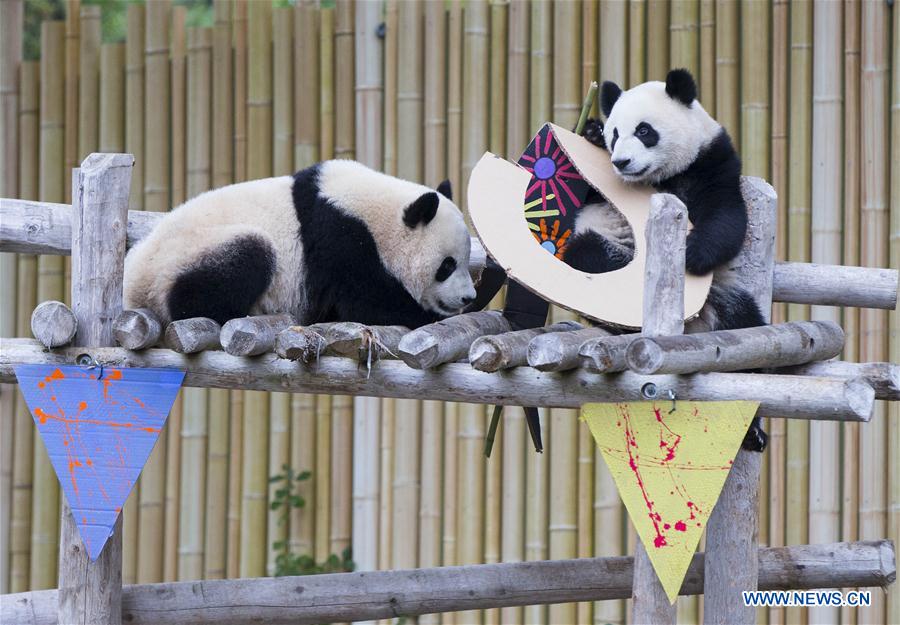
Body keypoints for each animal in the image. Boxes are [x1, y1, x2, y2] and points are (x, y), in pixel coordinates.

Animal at [123, 159, 477, 330]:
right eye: (447, 266)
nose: (468, 297)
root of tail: (131, 281)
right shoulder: (341, 240)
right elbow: (366, 303)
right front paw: (425, 315)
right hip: (187, 254)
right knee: (240, 261)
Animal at [566, 68, 768, 452]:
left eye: (645, 131)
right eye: (616, 134)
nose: (621, 162)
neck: (658, 178)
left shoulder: (713, 161)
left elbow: (727, 217)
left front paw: (691, 255)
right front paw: (591, 132)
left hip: (726, 303)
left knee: (748, 345)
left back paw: (753, 432)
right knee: (584, 250)